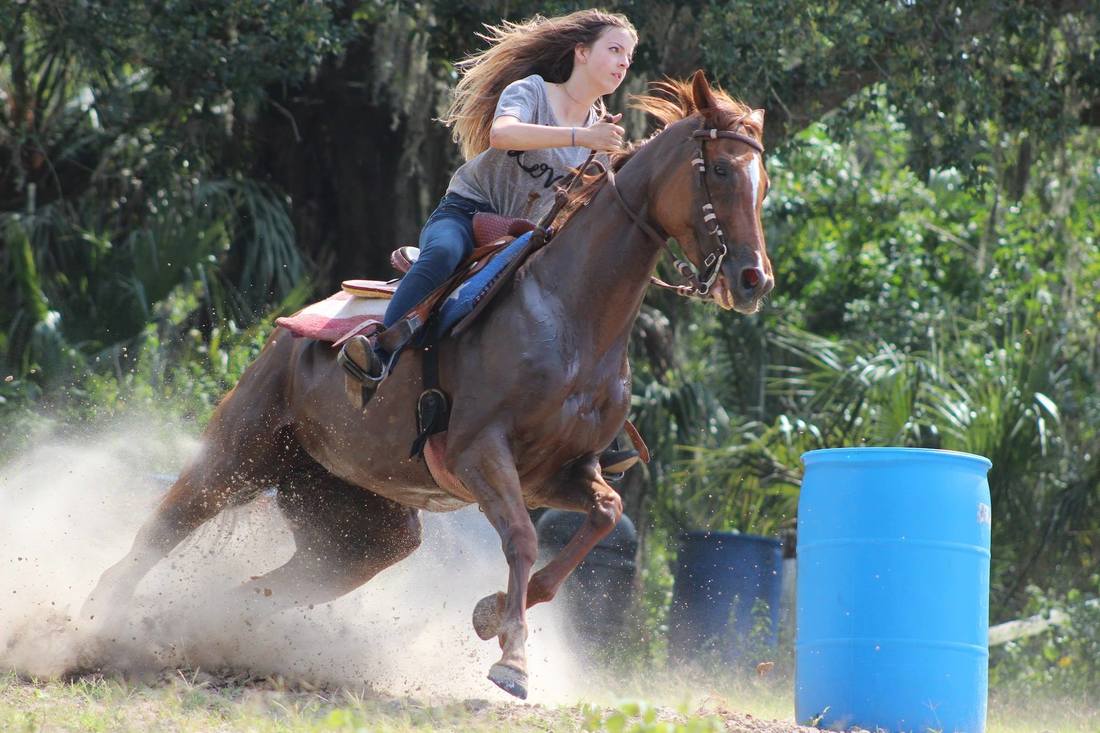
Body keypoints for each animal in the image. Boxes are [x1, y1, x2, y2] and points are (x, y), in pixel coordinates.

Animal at [81, 68, 774, 695]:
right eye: (718, 171)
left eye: (763, 183)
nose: (753, 280)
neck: (569, 316)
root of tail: (289, 334)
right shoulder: (477, 453)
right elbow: (523, 539)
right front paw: (513, 659)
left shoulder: (559, 472)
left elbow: (605, 515)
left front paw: (492, 615)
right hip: (237, 456)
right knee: (160, 531)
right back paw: (96, 623)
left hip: (362, 528)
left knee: (269, 585)